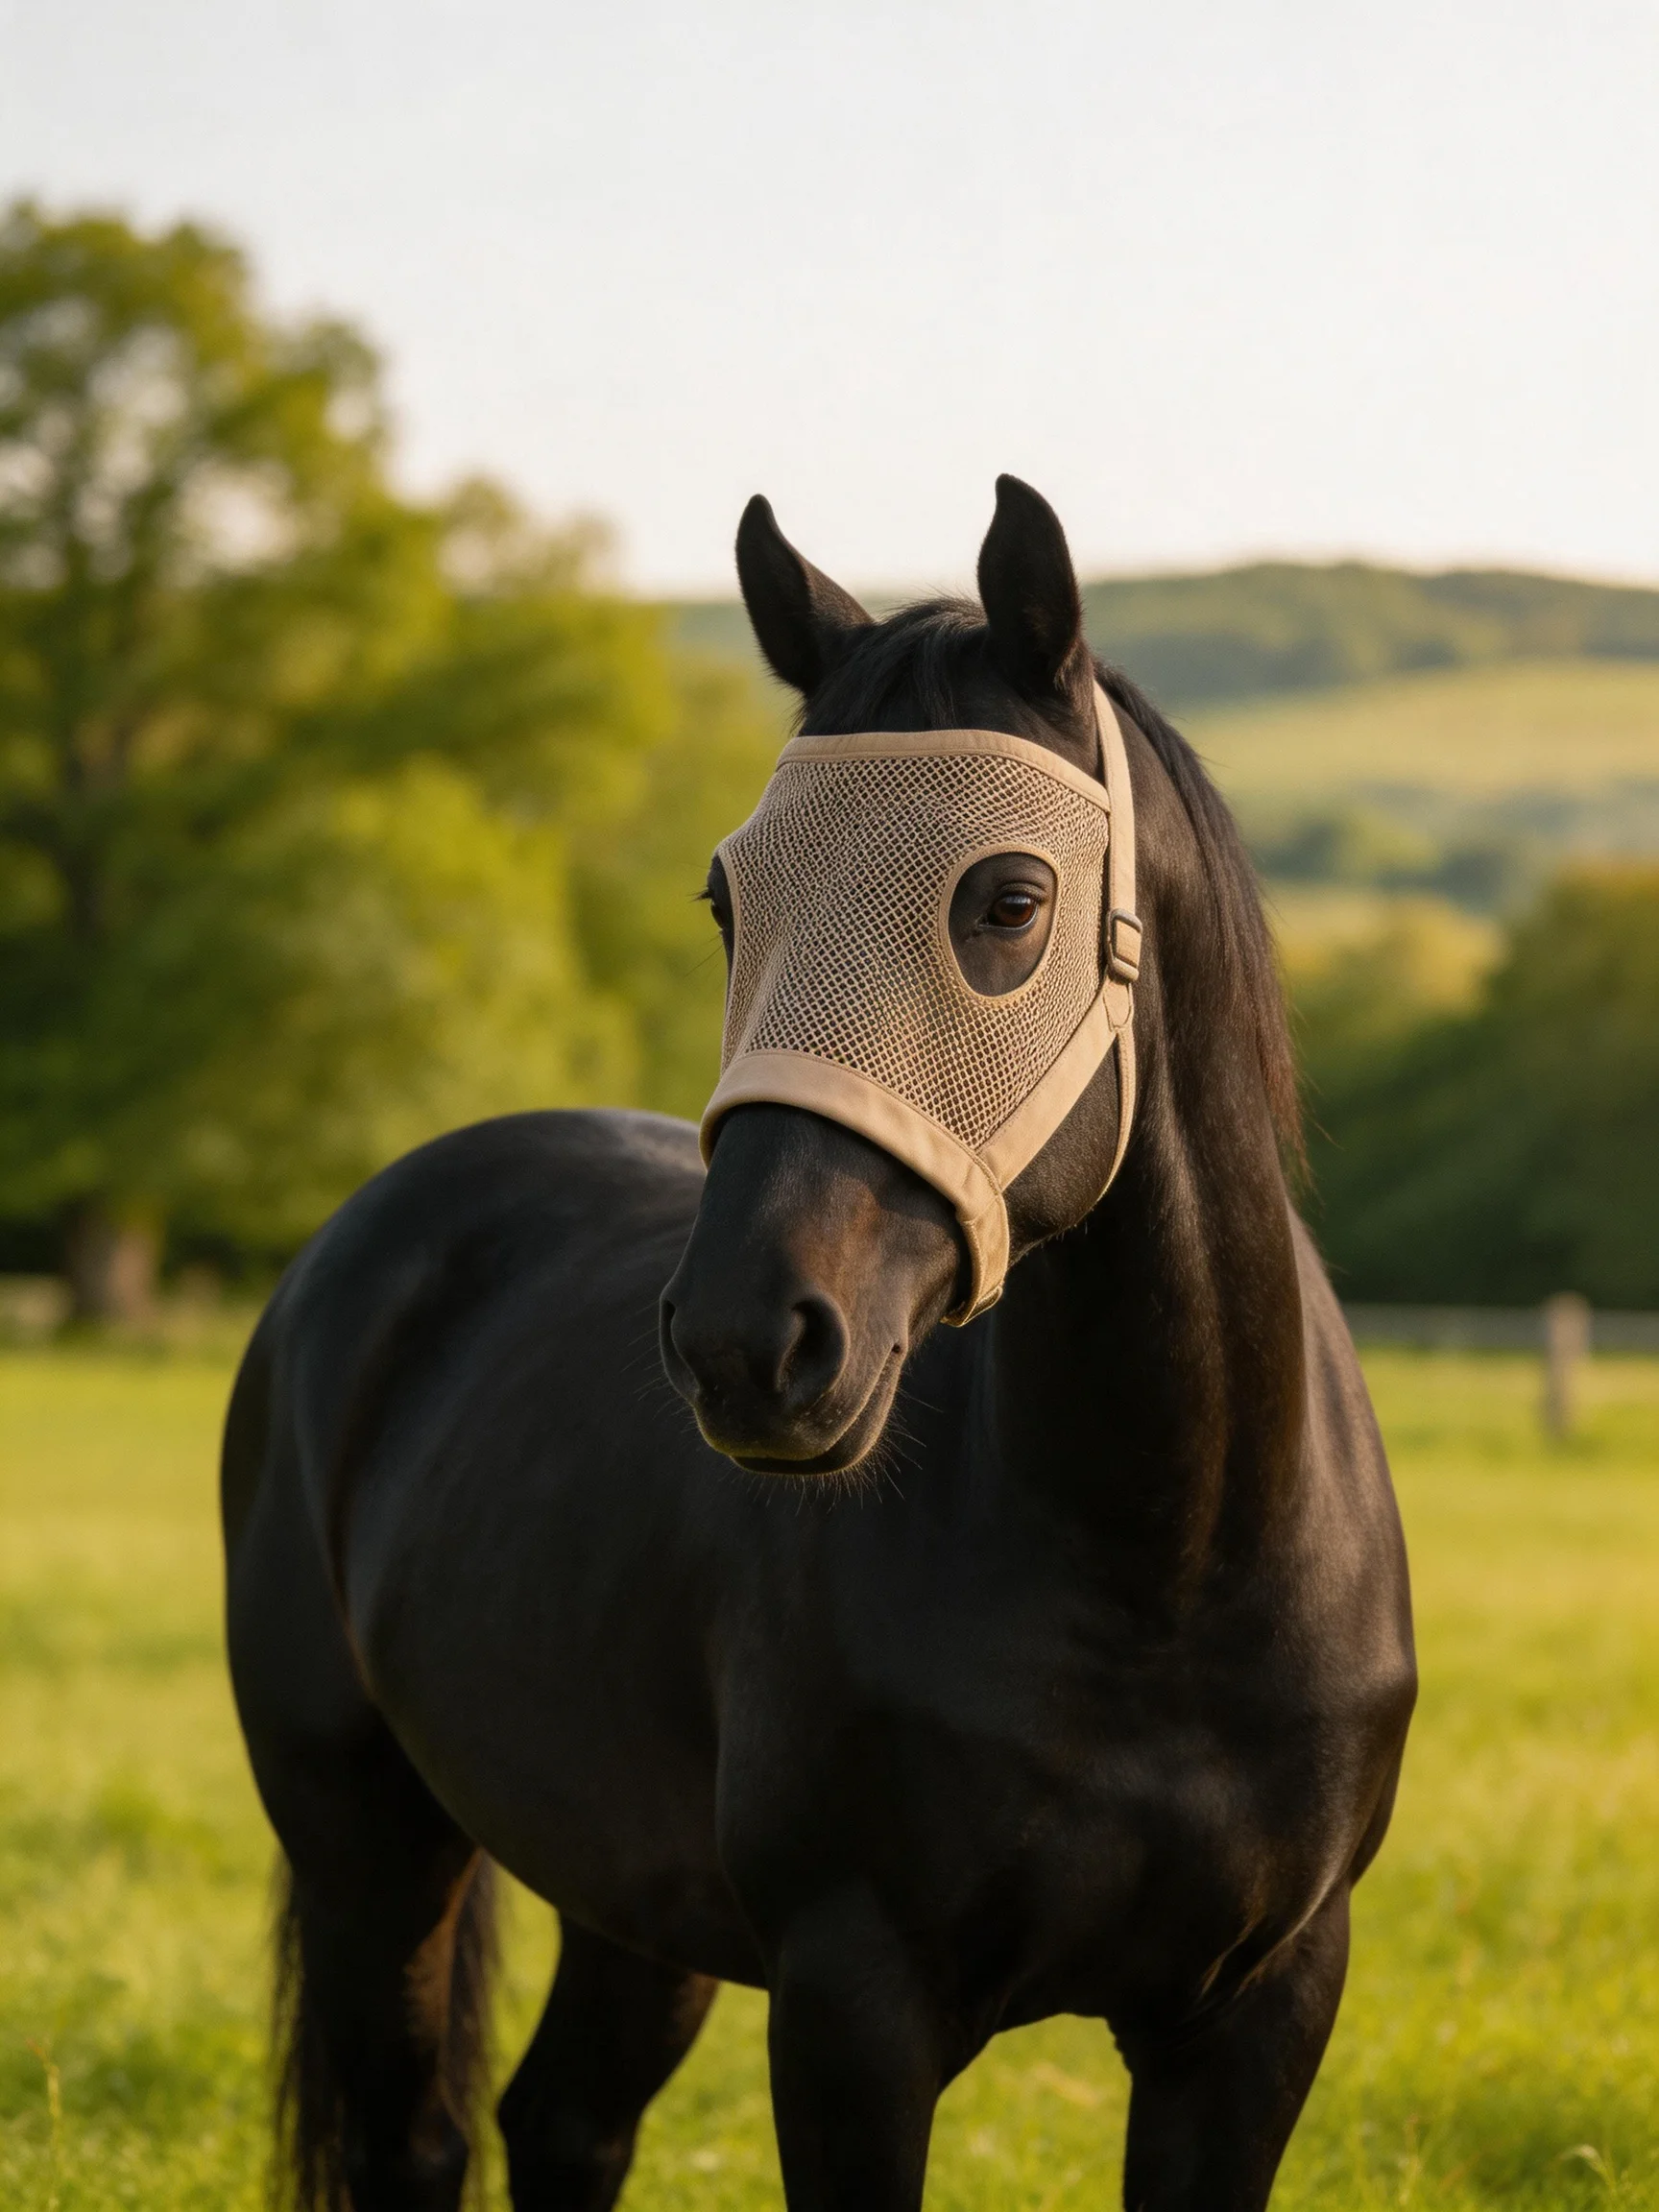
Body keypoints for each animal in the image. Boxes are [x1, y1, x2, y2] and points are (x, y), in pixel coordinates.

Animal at [222, 475, 1414, 2212]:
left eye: (1009, 901)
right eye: (729, 901)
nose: (745, 1340)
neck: (1167, 1560)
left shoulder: (1257, 2013)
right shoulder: (855, 2003)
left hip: (626, 1885)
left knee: (561, 2121)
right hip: (364, 1839)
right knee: (416, 2142)